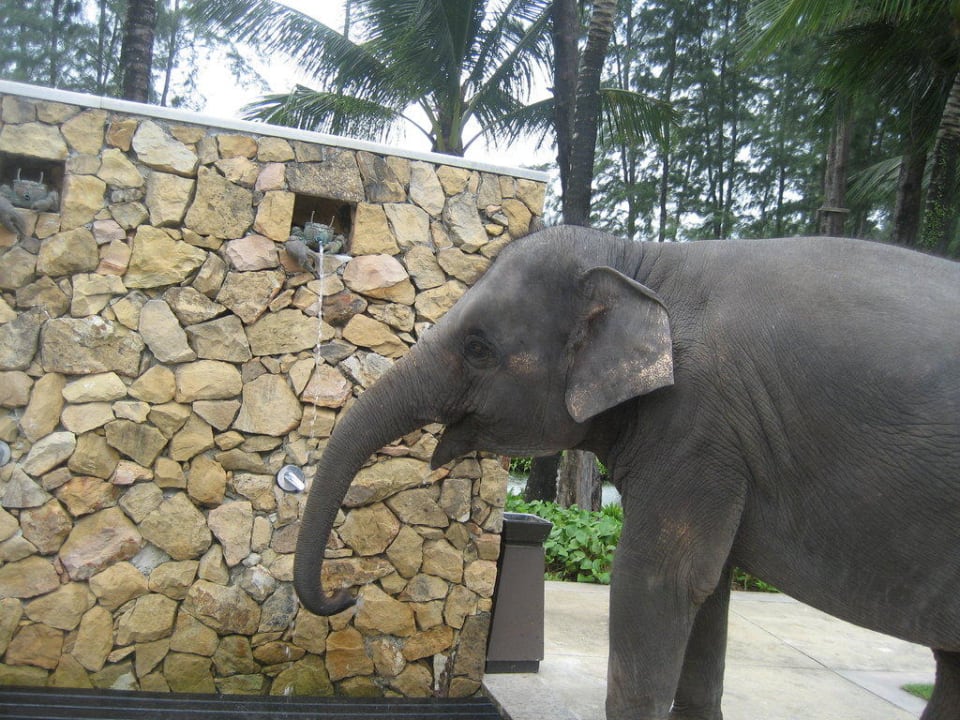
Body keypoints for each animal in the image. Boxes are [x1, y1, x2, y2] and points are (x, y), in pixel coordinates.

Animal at [293, 225, 959, 719]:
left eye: (479, 348)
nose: (348, 592)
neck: (643, 259)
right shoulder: (722, 445)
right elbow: (710, 590)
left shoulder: (699, 424)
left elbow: (660, 581)